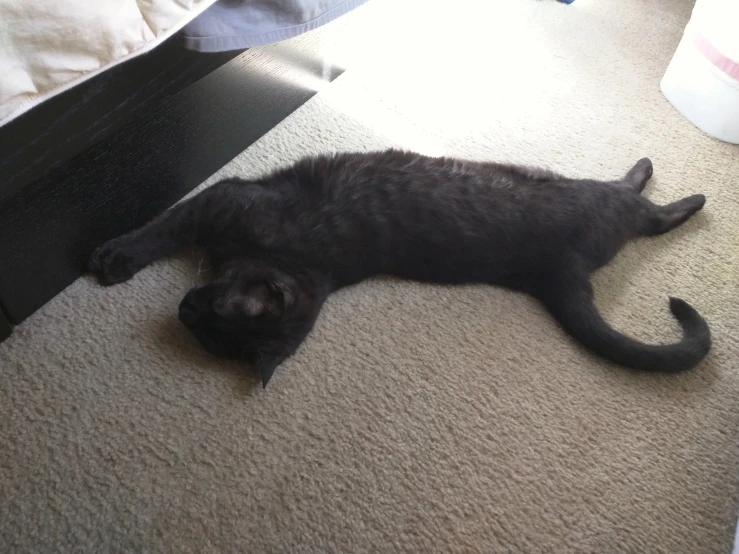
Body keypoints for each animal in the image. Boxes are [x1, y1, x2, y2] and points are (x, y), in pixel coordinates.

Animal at [86, 149, 712, 386]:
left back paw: (678, 187)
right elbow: (166, 226)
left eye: (212, 324)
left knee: (644, 207)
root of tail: (554, 269)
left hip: (601, 200)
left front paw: (115, 259)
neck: (298, 261)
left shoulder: (222, 199)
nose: (183, 309)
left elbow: (162, 227)